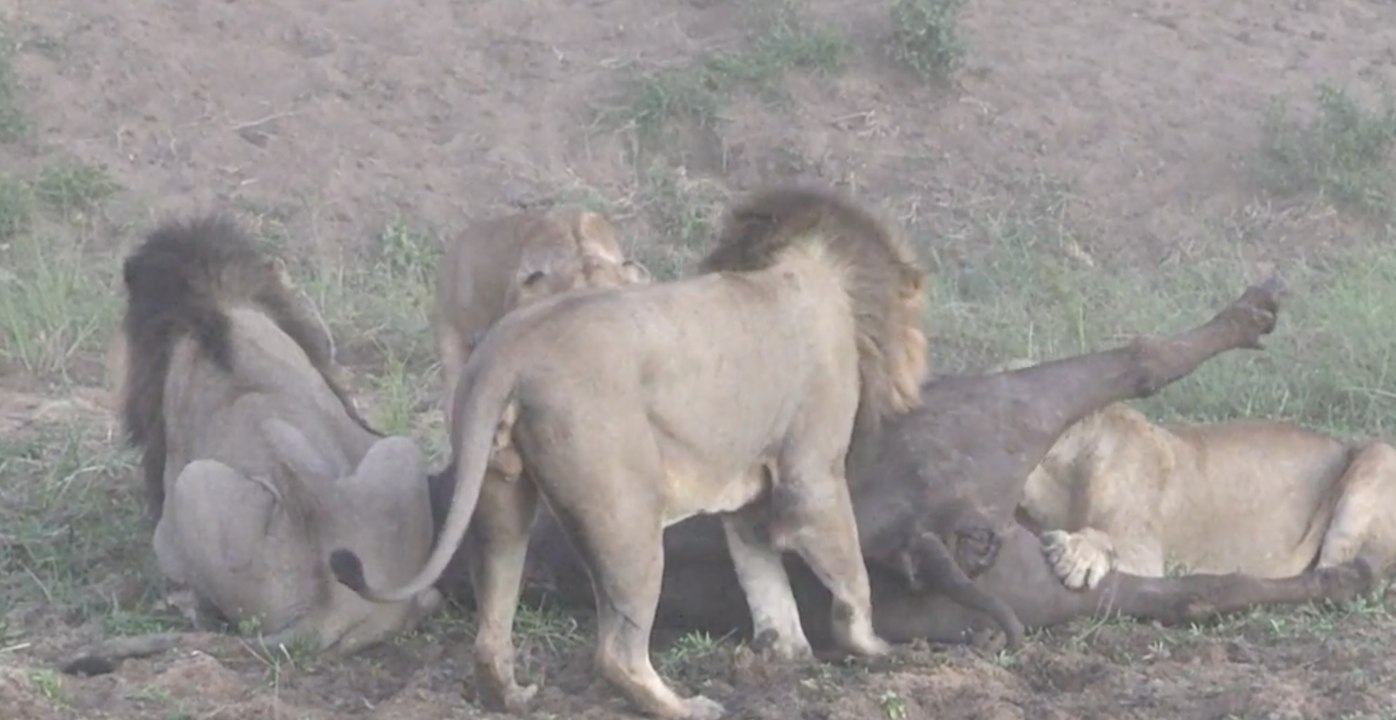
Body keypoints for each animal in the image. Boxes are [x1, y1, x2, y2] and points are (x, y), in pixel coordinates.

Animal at [330, 186, 929, 720]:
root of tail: (511, 347)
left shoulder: (749, 495)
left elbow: (764, 579)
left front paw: (788, 652)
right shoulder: (812, 477)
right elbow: (851, 574)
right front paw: (876, 648)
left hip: (500, 499)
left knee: (492, 624)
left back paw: (512, 697)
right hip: (626, 514)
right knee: (617, 652)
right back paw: (688, 707)